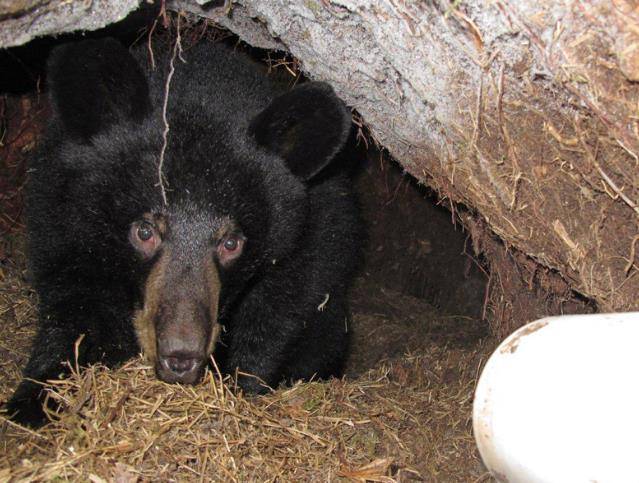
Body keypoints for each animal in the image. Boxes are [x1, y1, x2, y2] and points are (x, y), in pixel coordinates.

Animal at [6, 37, 360, 428]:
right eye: (145, 231)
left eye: (231, 242)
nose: (180, 357)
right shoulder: (64, 220)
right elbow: (76, 307)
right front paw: (37, 399)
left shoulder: (311, 241)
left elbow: (280, 313)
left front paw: (242, 388)